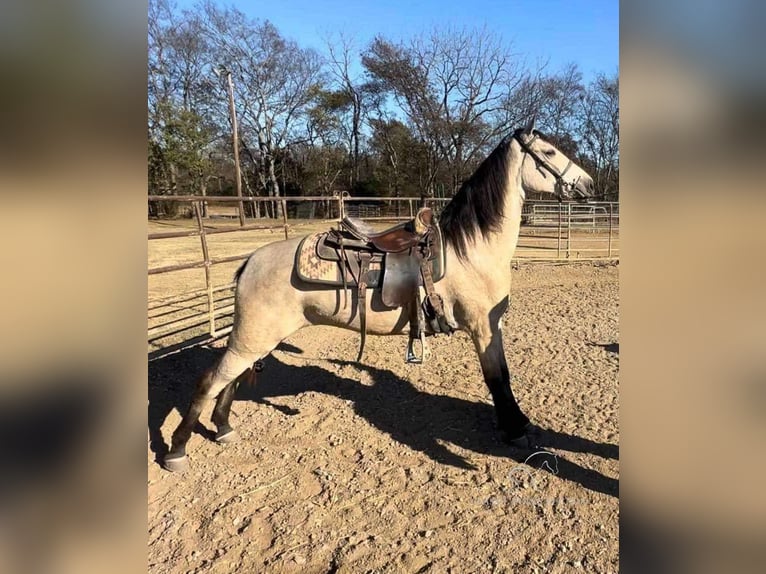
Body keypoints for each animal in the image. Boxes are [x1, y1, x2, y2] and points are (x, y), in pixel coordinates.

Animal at [165, 119, 596, 474]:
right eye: (549, 152)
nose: (589, 184)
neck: (470, 249)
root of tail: (250, 262)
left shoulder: (491, 327)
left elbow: (501, 377)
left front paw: (517, 425)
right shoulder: (483, 328)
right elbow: (499, 379)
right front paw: (516, 429)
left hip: (259, 338)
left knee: (231, 380)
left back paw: (223, 428)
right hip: (252, 336)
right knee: (210, 381)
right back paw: (177, 450)